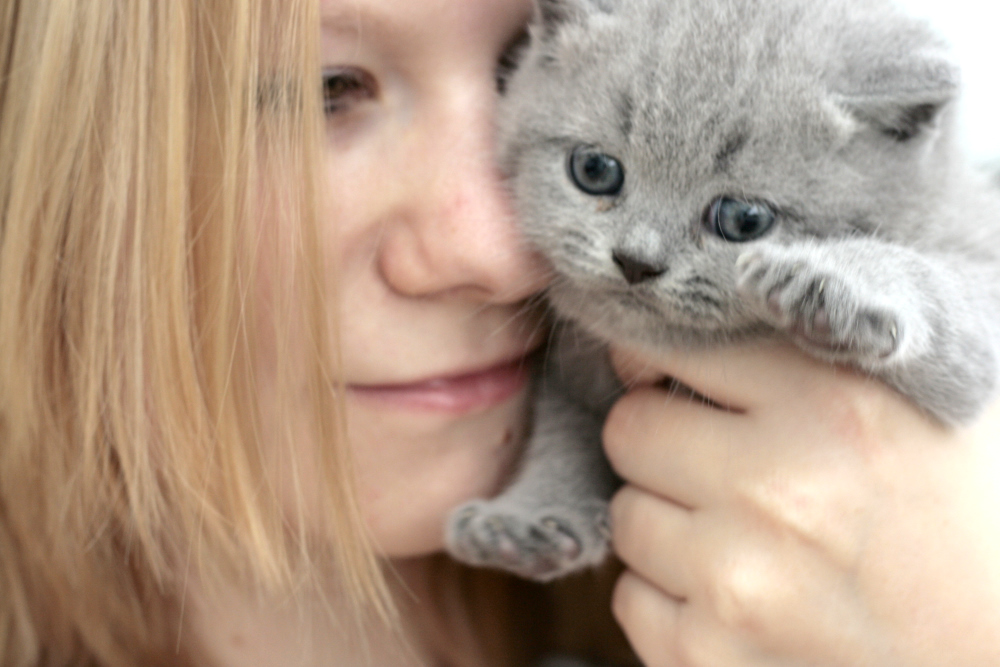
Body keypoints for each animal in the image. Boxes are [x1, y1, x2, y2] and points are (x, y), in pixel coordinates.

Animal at [450, 0, 1000, 580]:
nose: (636, 261)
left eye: (742, 219)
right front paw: (531, 516)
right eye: (594, 170)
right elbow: (562, 426)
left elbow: (947, 293)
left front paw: (832, 282)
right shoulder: (574, 364)